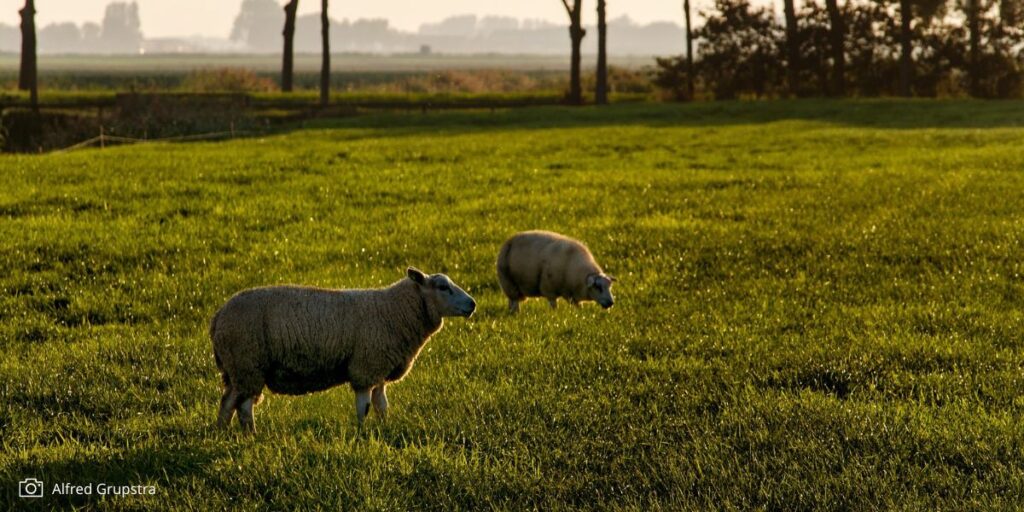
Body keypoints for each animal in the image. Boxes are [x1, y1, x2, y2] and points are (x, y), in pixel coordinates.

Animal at [210, 268, 479, 432]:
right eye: (443, 287)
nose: (473, 304)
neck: (395, 311)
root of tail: (218, 316)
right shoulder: (365, 368)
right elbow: (364, 407)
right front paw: (361, 433)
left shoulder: (378, 370)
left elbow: (382, 405)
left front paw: (385, 429)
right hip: (248, 363)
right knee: (244, 407)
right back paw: (251, 436)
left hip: (236, 369)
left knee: (228, 402)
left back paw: (223, 433)